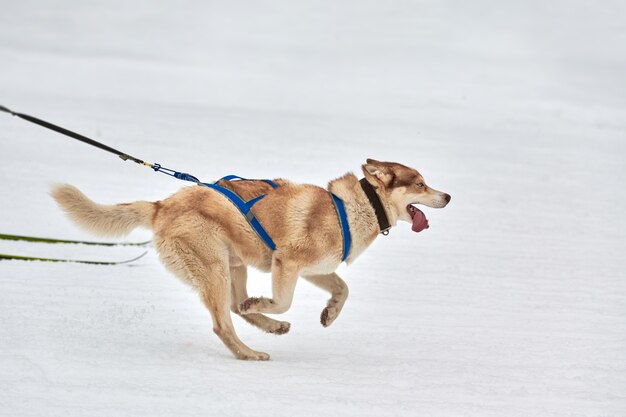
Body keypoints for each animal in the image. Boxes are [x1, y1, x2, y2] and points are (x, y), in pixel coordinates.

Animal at [50, 158, 448, 360]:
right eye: (420, 183)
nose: (447, 196)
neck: (353, 209)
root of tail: (161, 205)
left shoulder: (314, 269)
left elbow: (343, 289)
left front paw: (329, 314)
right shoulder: (286, 262)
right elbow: (283, 301)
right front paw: (267, 304)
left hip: (233, 266)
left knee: (234, 307)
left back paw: (270, 327)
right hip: (214, 269)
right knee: (223, 323)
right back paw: (249, 352)